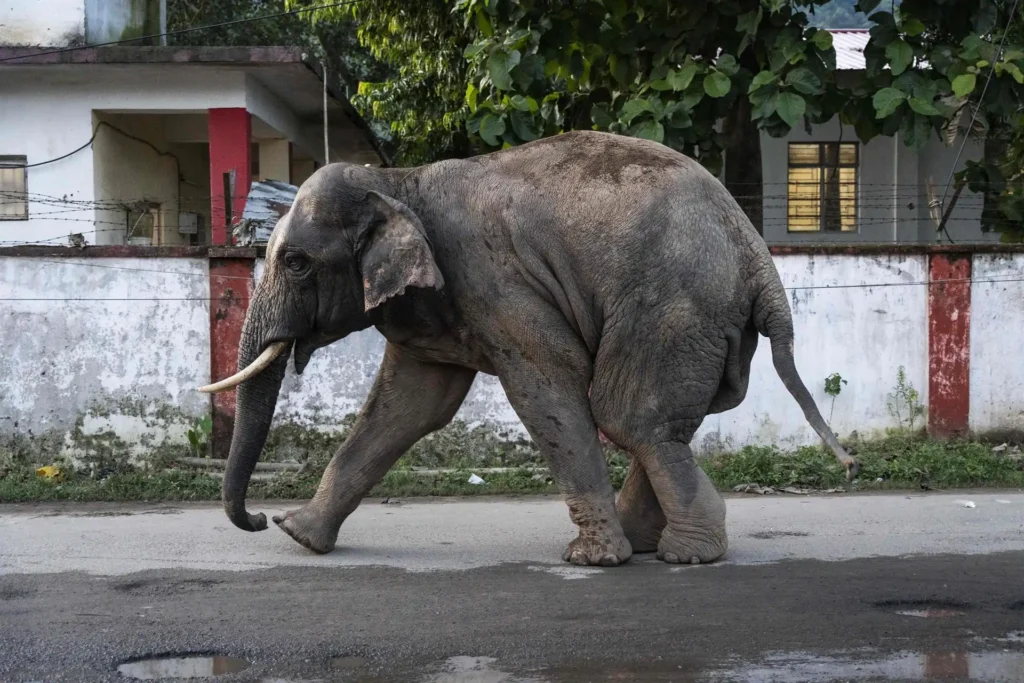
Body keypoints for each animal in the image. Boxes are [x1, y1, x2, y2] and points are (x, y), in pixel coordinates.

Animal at [199, 130, 856, 567]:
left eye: (296, 262)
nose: (258, 518)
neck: (398, 181)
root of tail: (757, 254)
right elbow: (412, 404)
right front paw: (300, 538)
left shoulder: (495, 281)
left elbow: (545, 388)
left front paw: (592, 560)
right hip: (712, 328)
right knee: (665, 424)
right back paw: (655, 543)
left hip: (673, 309)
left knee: (630, 417)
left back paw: (685, 554)